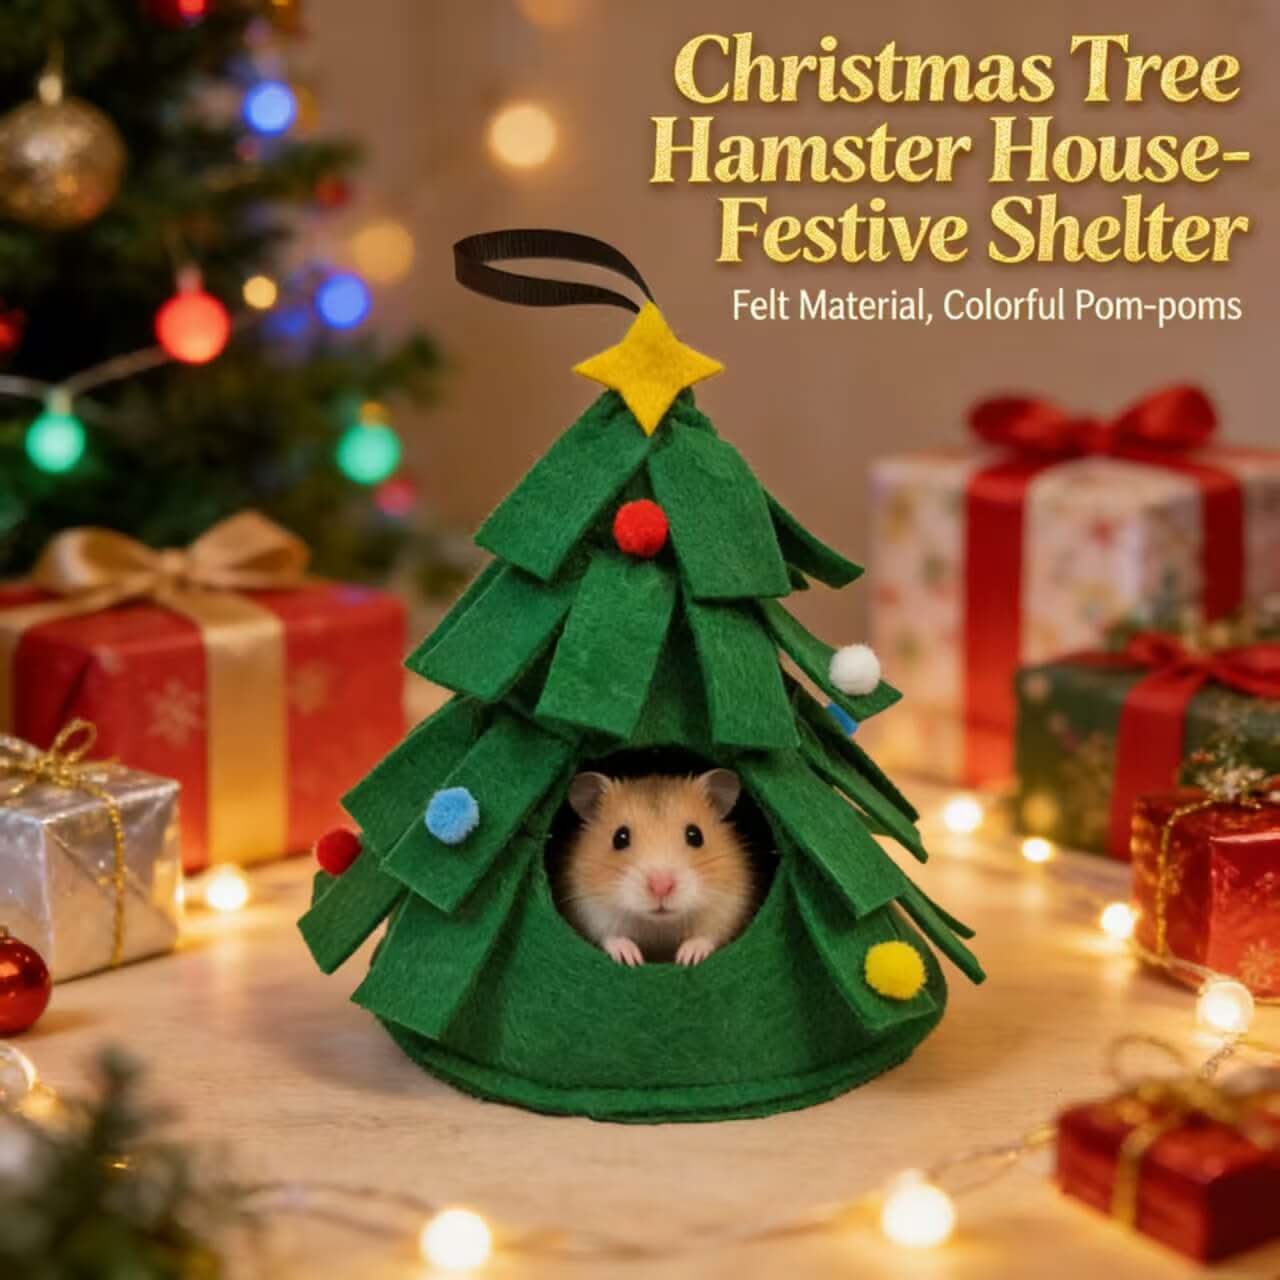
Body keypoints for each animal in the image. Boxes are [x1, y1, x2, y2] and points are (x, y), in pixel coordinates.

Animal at [560, 769, 756, 966]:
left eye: (695, 835)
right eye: (620, 838)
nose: (661, 887)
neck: (659, 925)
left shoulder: (728, 906)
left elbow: (708, 936)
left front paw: (687, 958)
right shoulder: (590, 910)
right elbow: (610, 936)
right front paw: (632, 959)